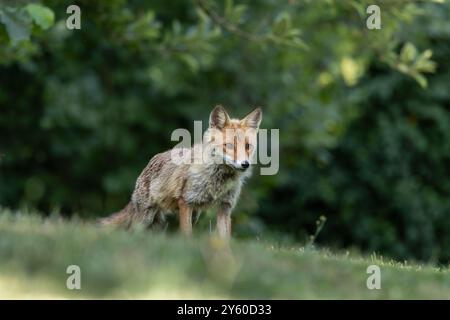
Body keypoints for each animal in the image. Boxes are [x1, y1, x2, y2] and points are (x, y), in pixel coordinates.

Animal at [98, 105, 260, 238]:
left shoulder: (225, 207)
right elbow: (187, 235)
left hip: (188, 216)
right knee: (133, 234)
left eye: (248, 146)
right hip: (146, 218)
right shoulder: (186, 201)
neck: (219, 179)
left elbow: (224, 240)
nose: (245, 164)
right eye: (230, 146)